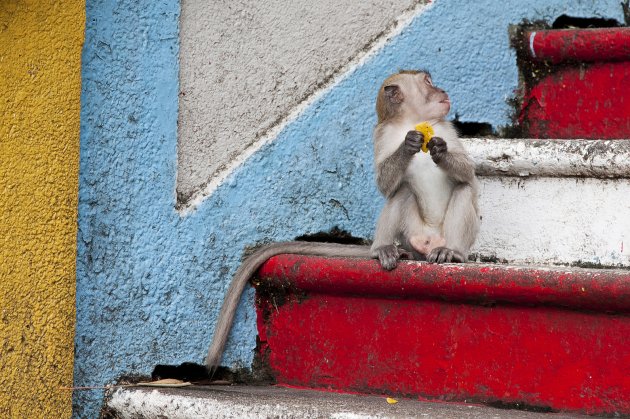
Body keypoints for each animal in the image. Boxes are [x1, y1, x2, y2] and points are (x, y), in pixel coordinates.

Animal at [206, 69, 478, 374]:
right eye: (427, 82)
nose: (442, 91)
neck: (411, 120)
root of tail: (427, 243)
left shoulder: (446, 129)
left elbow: (467, 173)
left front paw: (440, 150)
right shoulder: (383, 135)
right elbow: (386, 185)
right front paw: (407, 147)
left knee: (463, 188)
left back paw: (451, 252)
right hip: (412, 234)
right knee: (401, 191)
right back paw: (383, 249)